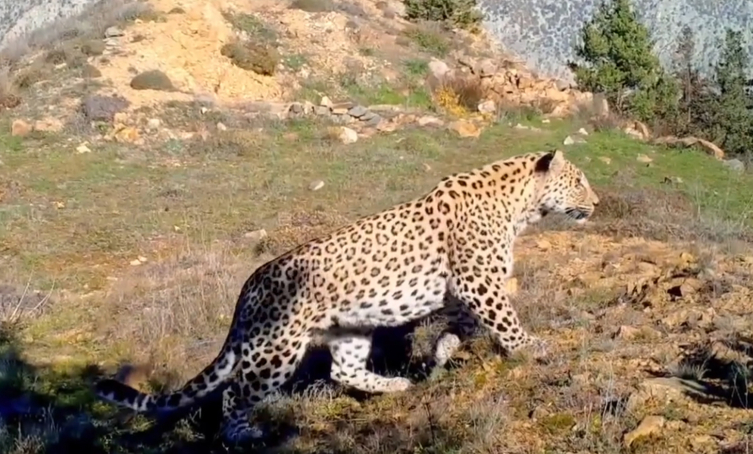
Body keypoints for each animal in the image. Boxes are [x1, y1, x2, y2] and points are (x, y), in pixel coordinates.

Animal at [94, 148, 600, 444]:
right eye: (578, 181)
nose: (595, 203)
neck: (520, 208)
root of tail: (247, 288)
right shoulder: (477, 281)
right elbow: (504, 320)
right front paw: (531, 348)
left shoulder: (464, 290)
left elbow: (466, 324)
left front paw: (441, 353)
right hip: (276, 348)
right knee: (236, 393)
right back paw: (245, 435)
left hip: (350, 327)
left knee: (343, 370)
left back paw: (396, 386)